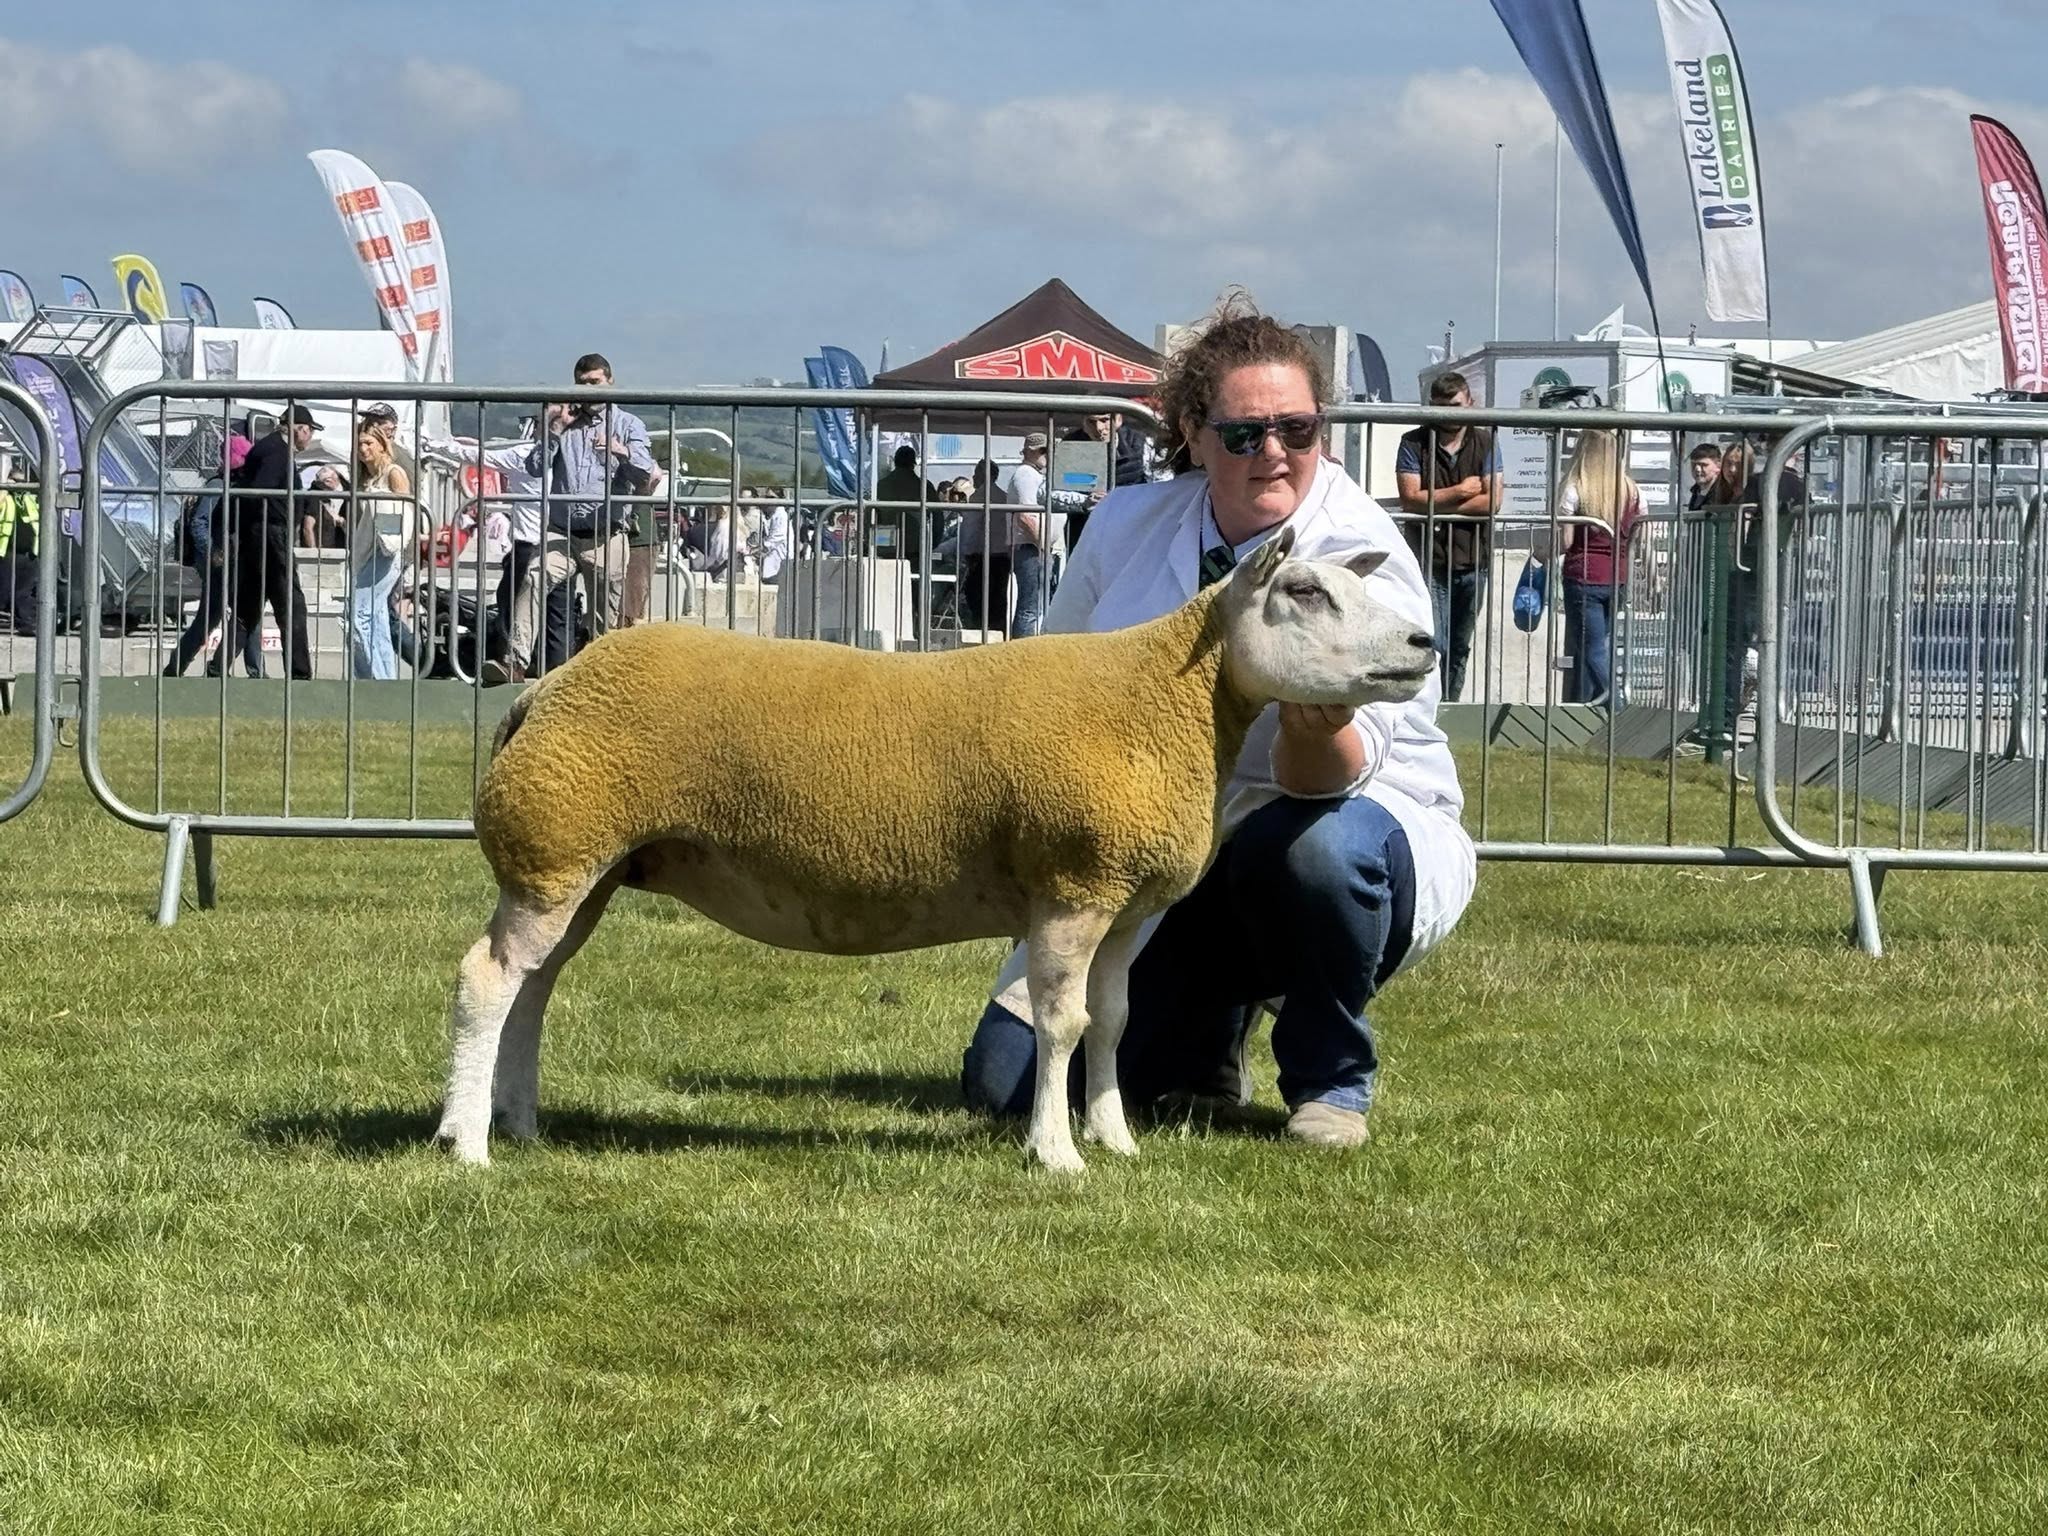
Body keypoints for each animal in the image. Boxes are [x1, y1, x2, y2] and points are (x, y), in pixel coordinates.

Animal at [436, 527, 1437, 1173]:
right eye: (1305, 593)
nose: (1424, 642)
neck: (1166, 697)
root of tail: (545, 688)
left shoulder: (1125, 903)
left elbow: (1111, 1022)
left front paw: (1115, 1139)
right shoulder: (1072, 883)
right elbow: (1061, 1024)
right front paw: (1057, 1155)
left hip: (586, 865)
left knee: (532, 986)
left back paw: (515, 1122)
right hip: (559, 844)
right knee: (488, 979)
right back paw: (467, 1143)